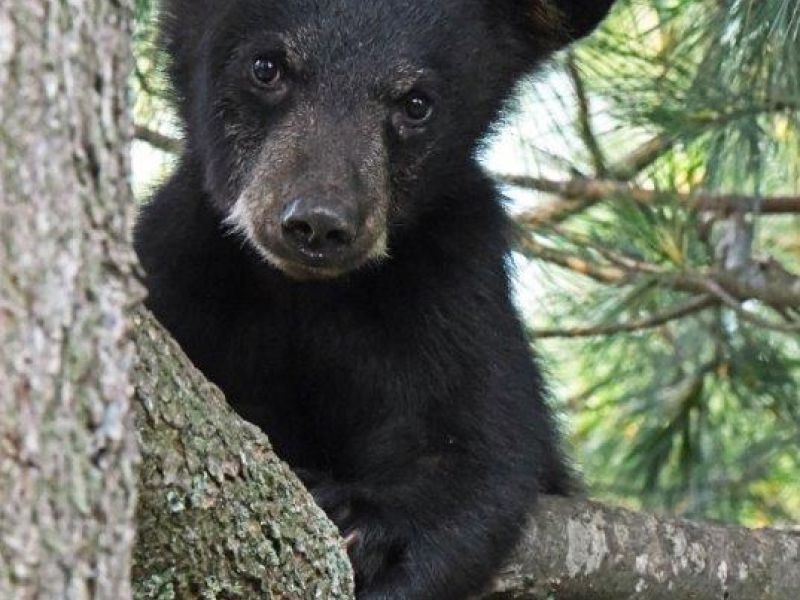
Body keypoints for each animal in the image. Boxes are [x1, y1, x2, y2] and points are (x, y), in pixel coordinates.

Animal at [134, 1, 616, 598]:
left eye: (416, 104)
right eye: (266, 67)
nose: (319, 223)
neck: (301, 293)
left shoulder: (457, 284)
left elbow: (478, 453)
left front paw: (369, 526)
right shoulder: (175, 268)